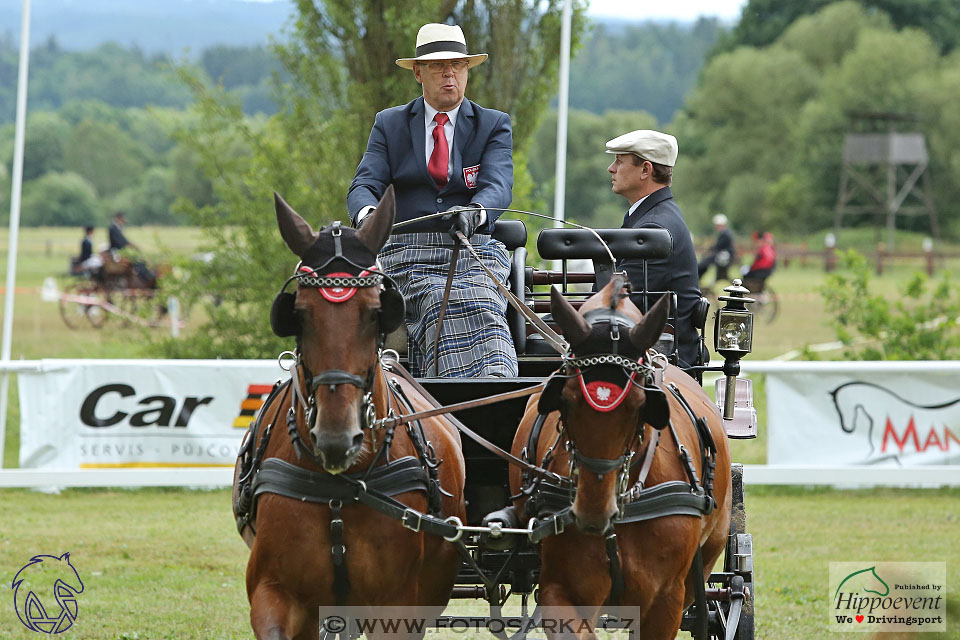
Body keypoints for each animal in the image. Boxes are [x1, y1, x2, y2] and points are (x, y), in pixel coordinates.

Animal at [236, 184, 468, 636]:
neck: (341, 488)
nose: (336, 439)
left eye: (376, 311)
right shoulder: (274, 594)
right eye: (299, 313)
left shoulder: (396, 607)